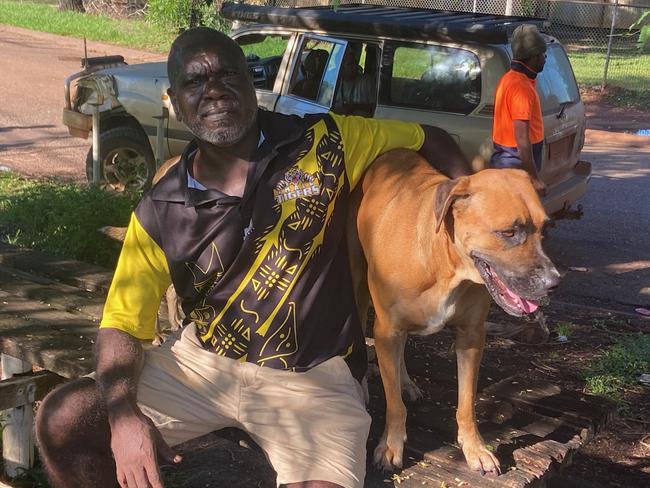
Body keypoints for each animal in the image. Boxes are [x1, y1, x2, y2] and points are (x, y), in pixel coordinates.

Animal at [350, 150, 556, 476]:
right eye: (508, 232)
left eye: (545, 229)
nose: (554, 281)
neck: (443, 262)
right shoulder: (386, 329)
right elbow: (393, 403)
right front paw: (391, 446)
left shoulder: (471, 336)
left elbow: (467, 402)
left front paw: (475, 449)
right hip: (358, 282)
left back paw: (405, 381)